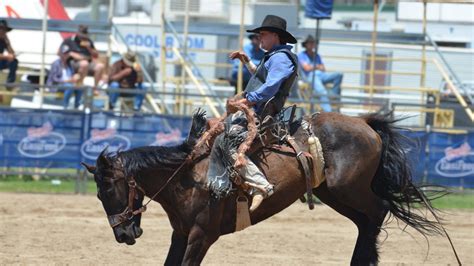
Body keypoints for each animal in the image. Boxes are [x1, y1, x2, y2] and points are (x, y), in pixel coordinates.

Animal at [81, 110, 456, 264]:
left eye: (109, 190)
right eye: (98, 195)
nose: (123, 235)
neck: (189, 177)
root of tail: (364, 122)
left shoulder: (202, 235)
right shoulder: (181, 234)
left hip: (349, 189)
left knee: (378, 211)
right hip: (332, 193)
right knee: (366, 222)